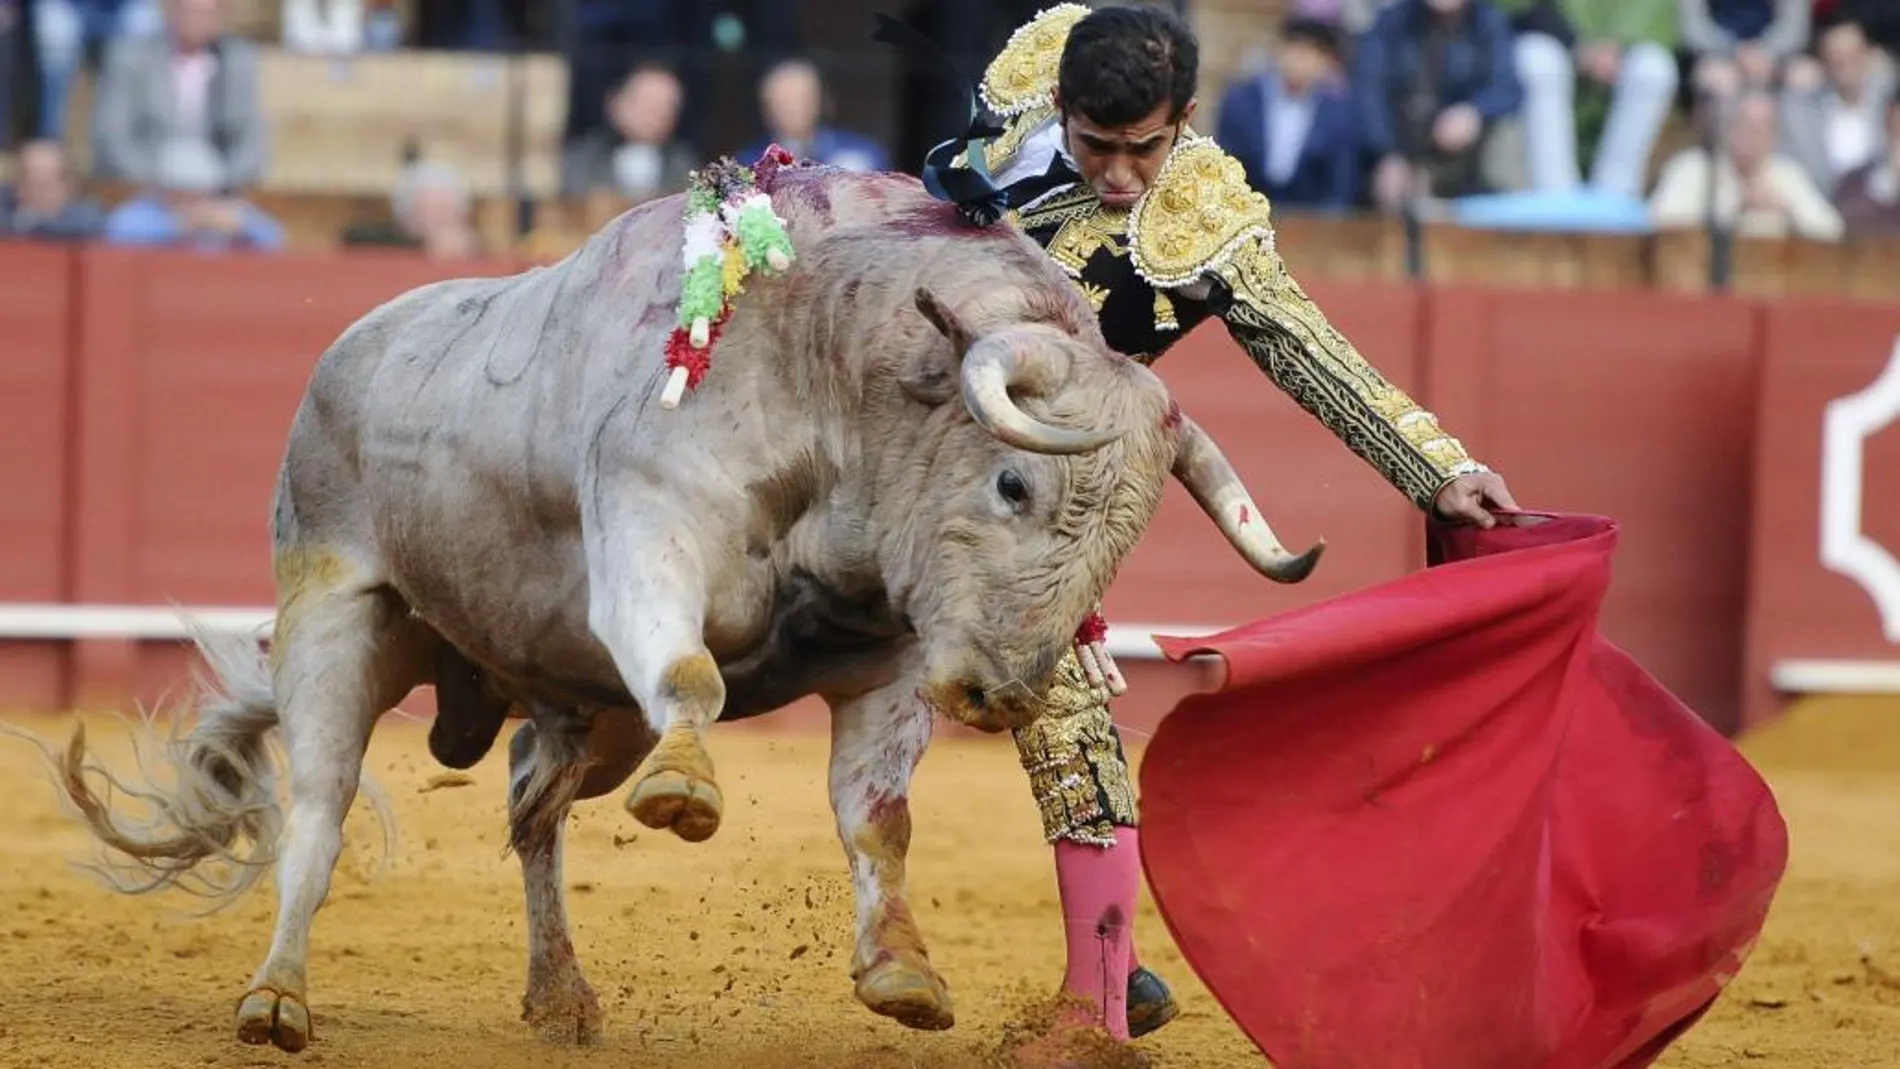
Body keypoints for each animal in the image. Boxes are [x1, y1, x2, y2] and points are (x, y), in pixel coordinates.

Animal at [18, 158, 1322, 1055]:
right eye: (1013, 482)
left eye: (1123, 539)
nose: (1004, 689)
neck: (836, 375)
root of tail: (351, 349)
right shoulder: (651, 535)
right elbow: (692, 673)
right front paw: (688, 792)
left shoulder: (892, 657)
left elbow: (880, 820)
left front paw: (902, 974)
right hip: (341, 611)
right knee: (318, 808)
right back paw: (276, 999)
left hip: (582, 704)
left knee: (531, 810)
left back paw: (560, 995)